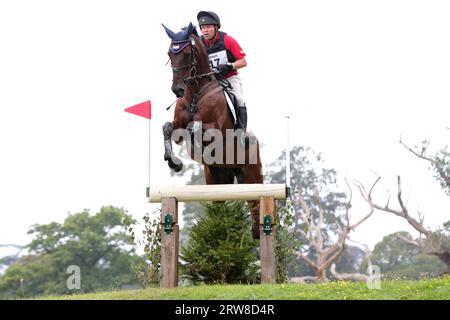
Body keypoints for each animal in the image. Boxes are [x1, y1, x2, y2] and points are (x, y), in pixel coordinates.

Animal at [161, 23, 264, 238]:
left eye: (187, 54)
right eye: (170, 54)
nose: (177, 90)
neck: (194, 93)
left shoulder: (217, 129)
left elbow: (194, 126)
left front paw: (196, 148)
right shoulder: (177, 124)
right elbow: (167, 128)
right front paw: (174, 163)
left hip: (252, 177)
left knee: (256, 209)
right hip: (217, 179)